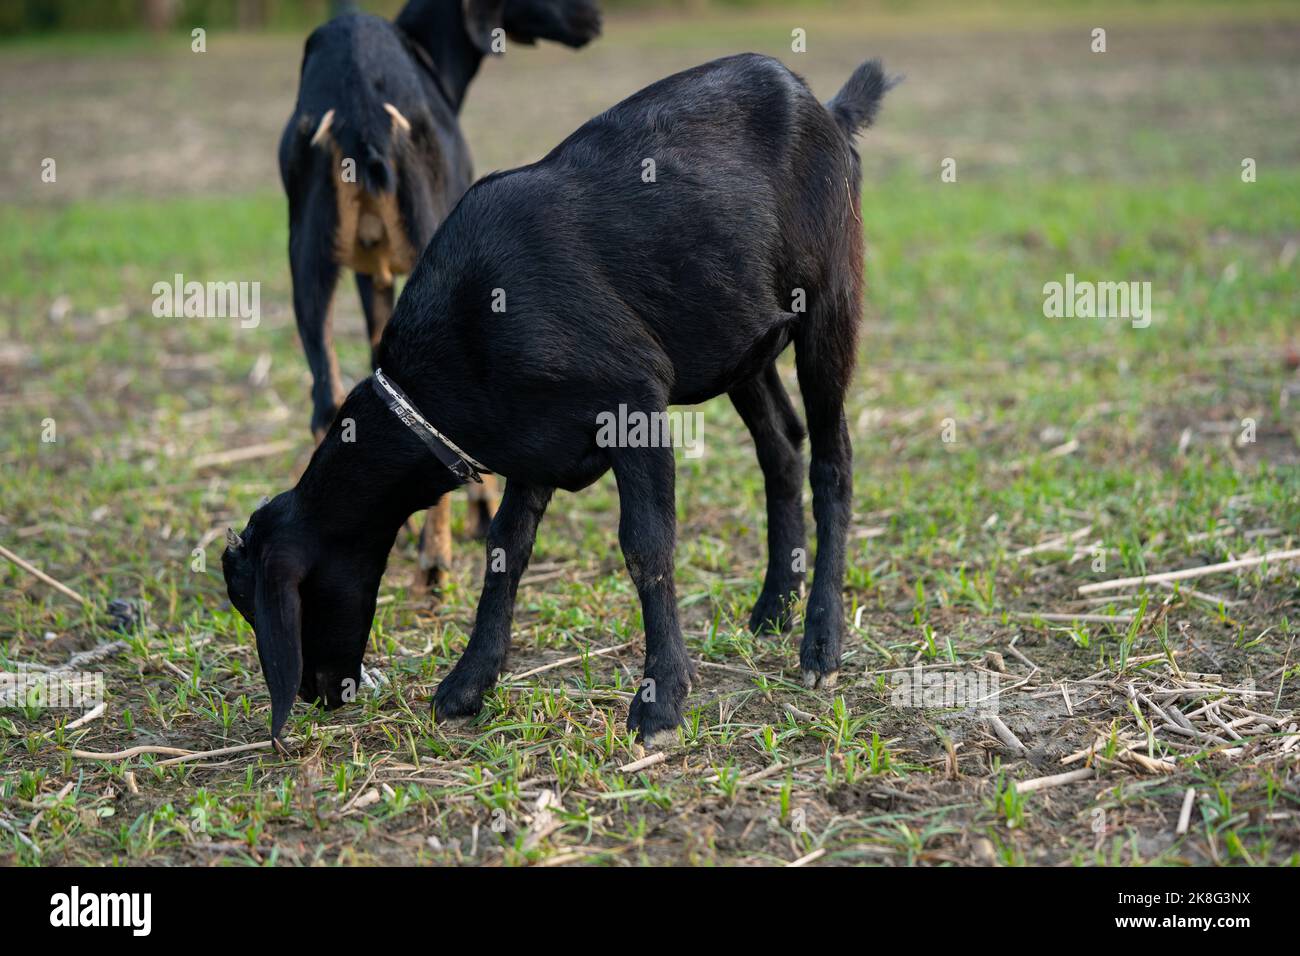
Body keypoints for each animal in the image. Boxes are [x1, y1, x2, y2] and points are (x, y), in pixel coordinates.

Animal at [228, 53, 895, 747]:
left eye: (276, 603)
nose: (314, 692)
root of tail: (827, 110)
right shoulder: (531, 441)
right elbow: (506, 547)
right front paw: (468, 683)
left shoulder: (634, 401)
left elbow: (646, 544)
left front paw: (661, 700)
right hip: (740, 339)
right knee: (781, 446)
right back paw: (774, 607)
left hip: (830, 297)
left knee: (832, 461)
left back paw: (820, 642)